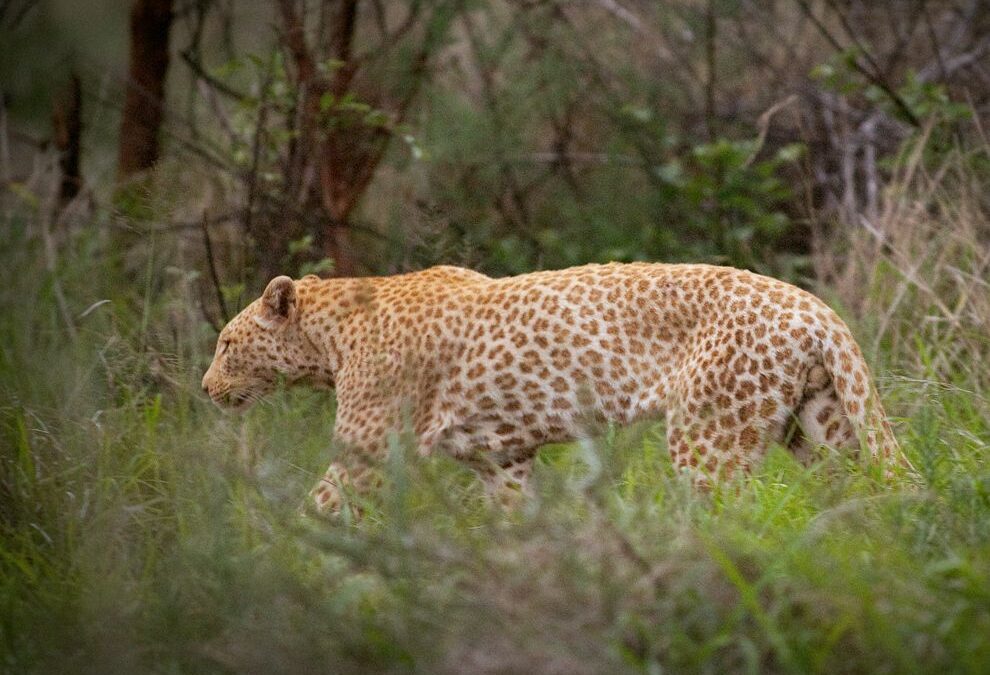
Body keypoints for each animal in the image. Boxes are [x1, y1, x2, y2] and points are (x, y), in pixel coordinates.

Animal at [202, 264, 908, 512]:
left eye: (226, 345)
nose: (206, 388)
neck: (329, 335)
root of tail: (816, 307)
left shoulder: (368, 451)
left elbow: (320, 506)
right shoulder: (503, 458)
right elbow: (511, 518)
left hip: (710, 438)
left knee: (727, 515)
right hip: (821, 424)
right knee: (865, 485)